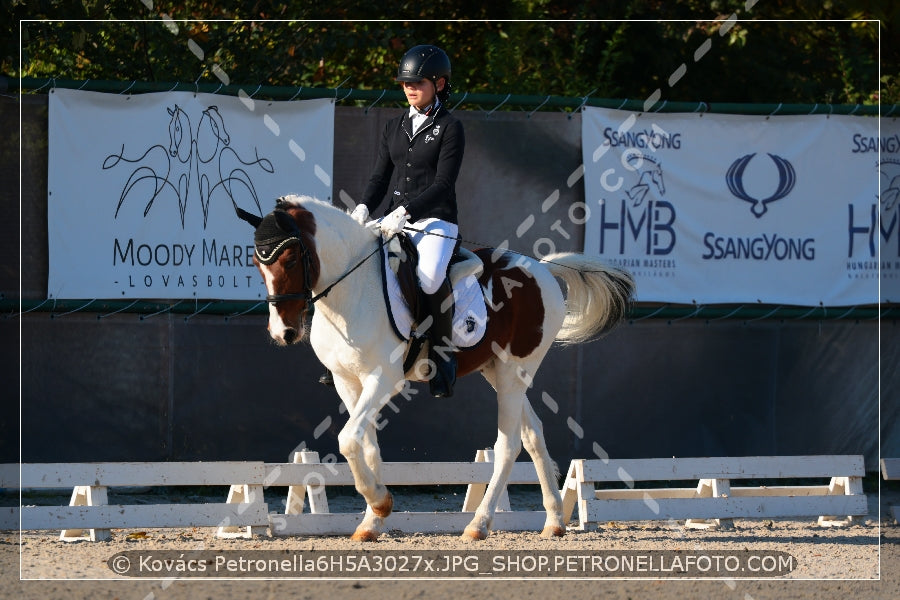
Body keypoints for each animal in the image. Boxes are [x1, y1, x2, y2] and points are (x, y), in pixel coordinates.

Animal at [237, 195, 632, 540]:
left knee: (508, 446)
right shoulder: (347, 382)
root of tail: (541, 269)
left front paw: (380, 503)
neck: (352, 290)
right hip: (497, 371)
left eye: (290, 260)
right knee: (533, 434)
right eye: (256, 264)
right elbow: (366, 446)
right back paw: (553, 522)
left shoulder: (384, 379)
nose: (284, 332)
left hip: (513, 373)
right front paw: (372, 520)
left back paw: (479, 525)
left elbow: (348, 440)